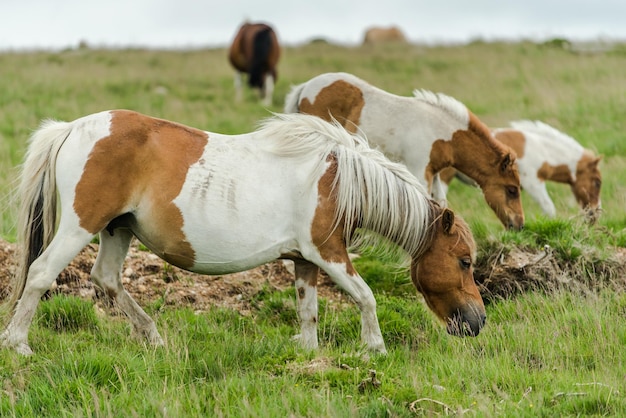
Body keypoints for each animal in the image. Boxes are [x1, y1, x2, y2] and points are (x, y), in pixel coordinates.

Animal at [0, 109, 486, 354]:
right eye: (464, 261)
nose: (478, 322)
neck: (338, 178)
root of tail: (71, 128)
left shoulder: (305, 261)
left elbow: (308, 311)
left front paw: (309, 356)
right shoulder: (328, 252)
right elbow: (366, 296)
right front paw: (375, 349)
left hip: (117, 229)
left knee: (106, 280)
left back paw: (152, 337)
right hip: (81, 225)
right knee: (41, 275)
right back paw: (18, 344)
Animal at [286, 71, 524, 229]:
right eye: (512, 190)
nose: (520, 224)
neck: (442, 133)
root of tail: (306, 86)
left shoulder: (434, 172)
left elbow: (441, 202)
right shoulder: (419, 170)